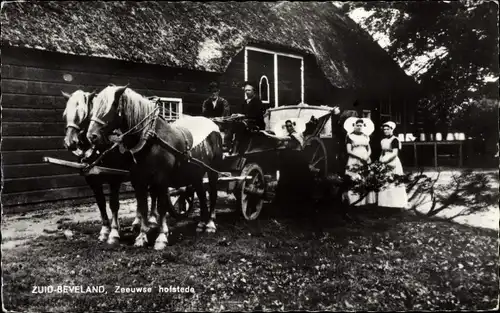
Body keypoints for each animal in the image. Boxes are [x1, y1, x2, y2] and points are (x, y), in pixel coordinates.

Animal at [62, 88, 157, 244]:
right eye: (65, 114)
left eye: (83, 114)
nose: (70, 142)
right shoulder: (92, 180)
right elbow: (101, 203)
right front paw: (105, 230)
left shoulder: (114, 178)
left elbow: (113, 204)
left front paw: (114, 233)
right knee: (139, 196)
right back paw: (137, 222)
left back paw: (153, 219)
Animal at [87, 84, 224, 249]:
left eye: (112, 106)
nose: (91, 136)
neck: (150, 139)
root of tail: (213, 125)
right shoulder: (138, 180)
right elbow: (143, 207)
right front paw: (141, 237)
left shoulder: (161, 180)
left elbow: (161, 206)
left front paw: (161, 238)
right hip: (195, 173)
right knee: (201, 193)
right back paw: (202, 223)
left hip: (212, 171)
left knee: (213, 193)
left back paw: (210, 224)